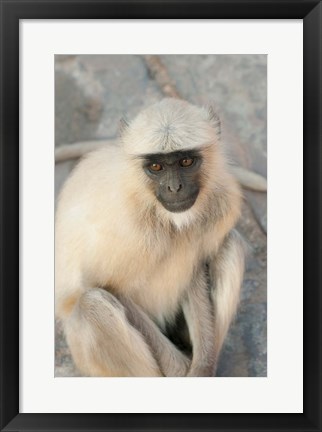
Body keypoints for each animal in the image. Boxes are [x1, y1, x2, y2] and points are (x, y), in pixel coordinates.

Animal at [56, 99, 244, 376]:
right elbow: (107, 286)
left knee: (232, 245)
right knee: (92, 305)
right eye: (156, 166)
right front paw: (181, 369)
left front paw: (202, 368)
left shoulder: (220, 202)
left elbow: (195, 270)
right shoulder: (125, 224)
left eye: (186, 161)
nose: (174, 188)